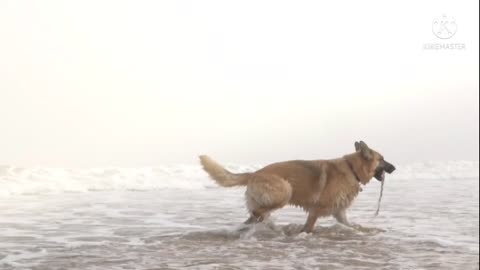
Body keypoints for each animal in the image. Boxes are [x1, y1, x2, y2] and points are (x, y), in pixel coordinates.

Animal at [201, 141, 396, 232]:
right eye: (382, 159)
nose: (394, 168)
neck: (351, 168)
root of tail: (254, 173)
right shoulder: (316, 210)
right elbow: (308, 228)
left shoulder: (340, 214)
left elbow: (353, 226)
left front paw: (367, 231)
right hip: (285, 191)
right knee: (258, 213)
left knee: (253, 217)